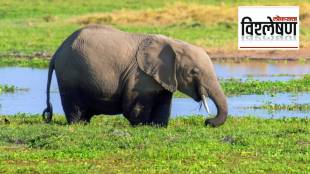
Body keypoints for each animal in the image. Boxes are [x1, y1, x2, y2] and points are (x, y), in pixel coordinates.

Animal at [41, 24, 228, 127]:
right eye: (194, 72)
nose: (207, 122)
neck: (173, 43)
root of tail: (57, 52)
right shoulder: (140, 74)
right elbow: (134, 105)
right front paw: (142, 126)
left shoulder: (162, 78)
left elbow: (163, 103)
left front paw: (157, 127)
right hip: (70, 75)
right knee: (75, 105)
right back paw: (79, 124)